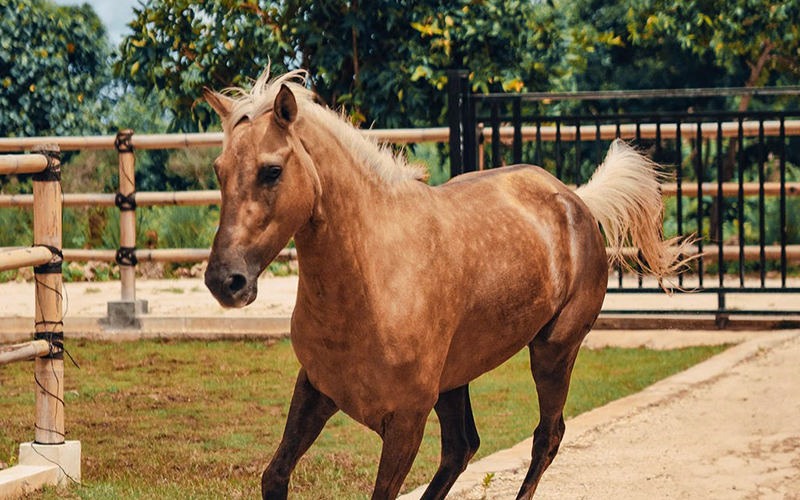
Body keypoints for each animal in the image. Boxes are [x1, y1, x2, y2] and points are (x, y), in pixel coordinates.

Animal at [202, 69, 687, 500]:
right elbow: (274, 476)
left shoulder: (405, 422)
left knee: (546, 437)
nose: (225, 281)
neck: (373, 278)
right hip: (456, 380)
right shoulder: (315, 390)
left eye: (271, 171)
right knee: (462, 448)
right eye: (219, 169)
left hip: (554, 352)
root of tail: (577, 201)